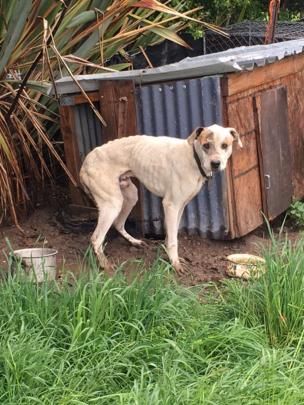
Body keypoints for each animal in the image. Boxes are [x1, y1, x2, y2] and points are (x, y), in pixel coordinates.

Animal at [80, 124, 242, 274]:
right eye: (206, 145)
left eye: (225, 145)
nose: (216, 164)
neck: (193, 157)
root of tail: (85, 164)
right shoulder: (171, 205)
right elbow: (173, 240)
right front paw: (175, 264)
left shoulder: (180, 206)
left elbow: (171, 235)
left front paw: (169, 257)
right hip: (113, 204)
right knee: (96, 238)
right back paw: (105, 264)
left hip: (130, 196)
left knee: (118, 223)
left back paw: (134, 242)